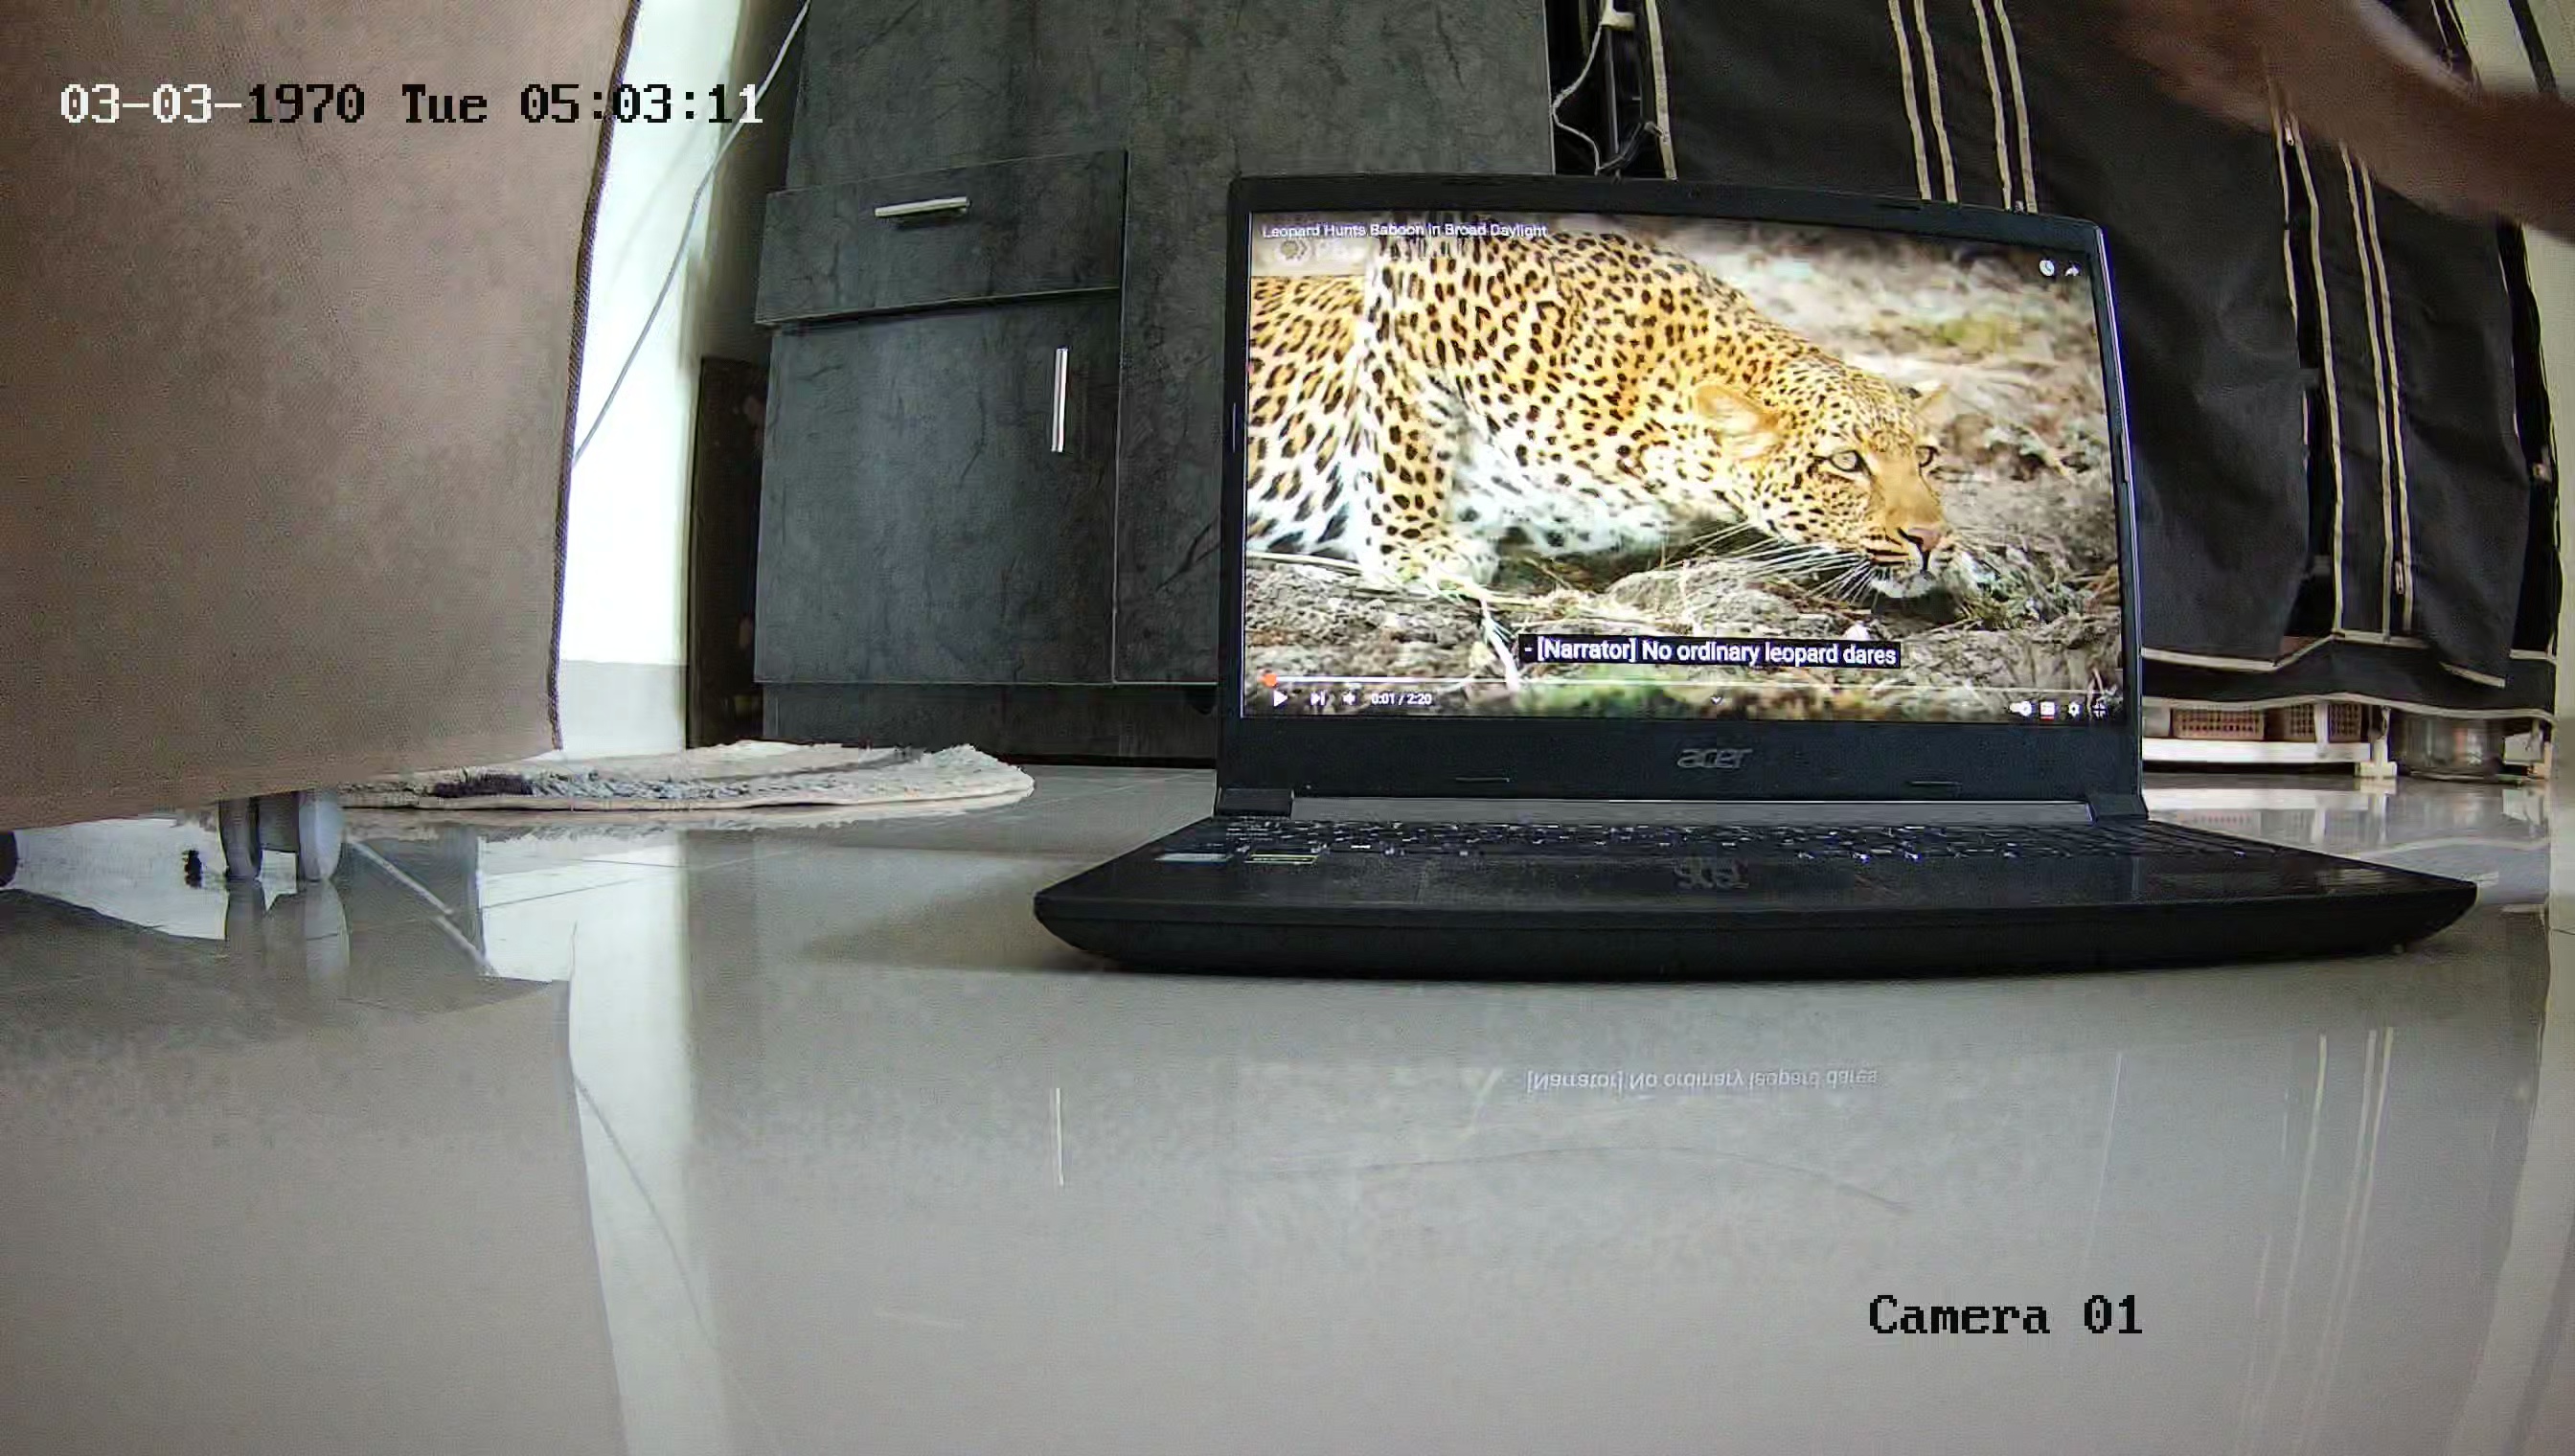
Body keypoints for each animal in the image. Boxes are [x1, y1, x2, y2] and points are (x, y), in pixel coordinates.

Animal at [1242, 224, 1960, 600]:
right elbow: (1405, 440)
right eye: (1847, 463)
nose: (1928, 539)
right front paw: (1415, 553)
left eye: (1926, 458)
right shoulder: (1424, 282)